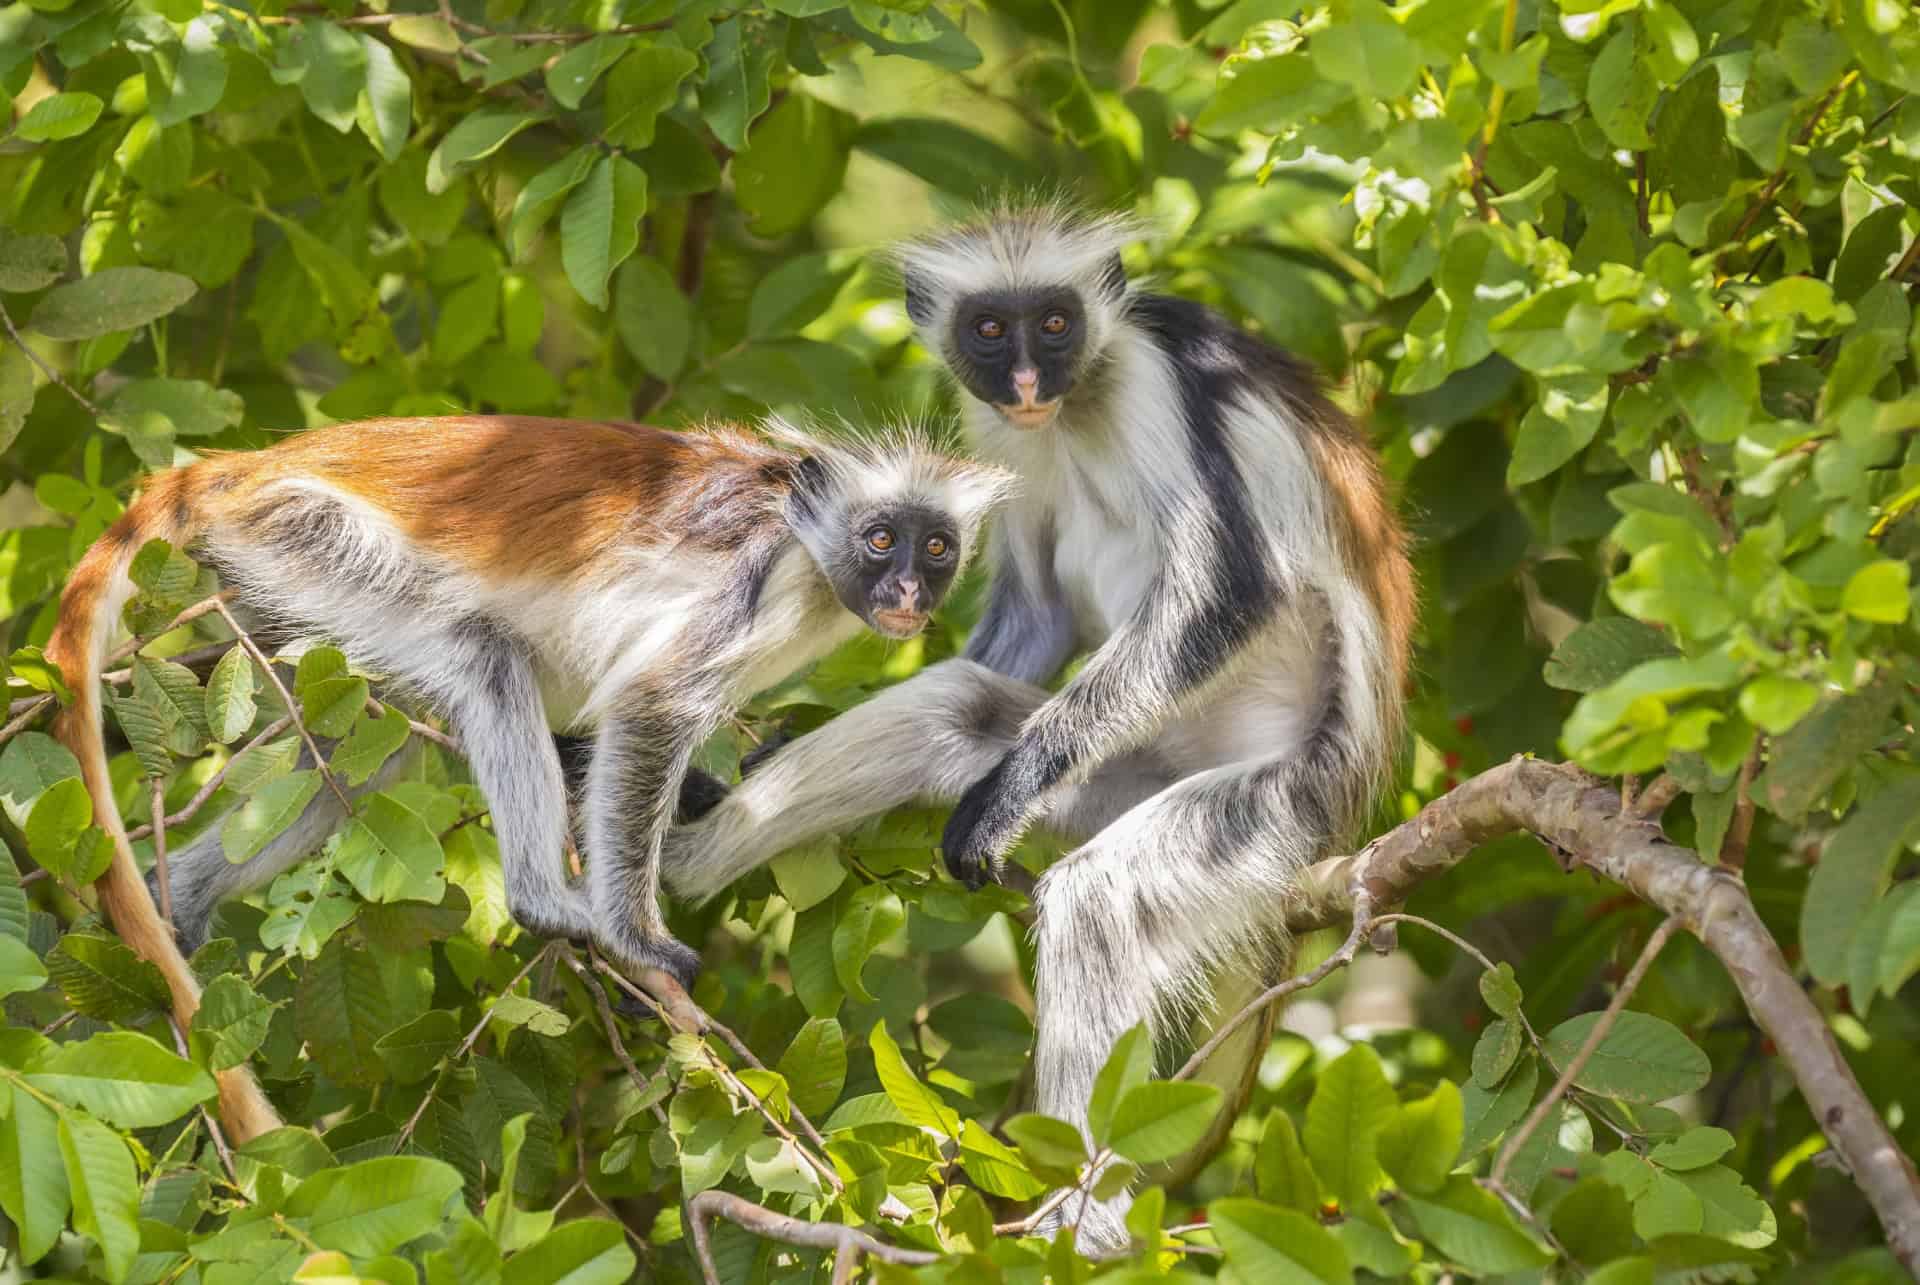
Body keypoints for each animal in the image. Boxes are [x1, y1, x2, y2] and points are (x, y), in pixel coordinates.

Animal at [45, 412, 1006, 1144]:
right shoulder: (754, 579)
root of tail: (247, 465)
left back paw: (183, 898)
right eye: (879, 540)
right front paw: (636, 938)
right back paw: (547, 902)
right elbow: (649, 705)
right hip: (303, 533)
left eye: (936, 546)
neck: (802, 533)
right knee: (485, 655)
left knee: (367, 750)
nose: (910, 590)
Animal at [668, 208, 1420, 1244]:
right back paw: (670, 864)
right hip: (1126, 771)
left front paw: (1008, 793)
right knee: (955, 706)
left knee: (1100, 897)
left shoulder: (1152, 378)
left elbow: (1230, 589)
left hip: (1278, 797)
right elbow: (1035, 615)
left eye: (1057, 324)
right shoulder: (998, 430)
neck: (1074, 406)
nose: (1028, 380)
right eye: (991, 329)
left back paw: (1085, 1225)